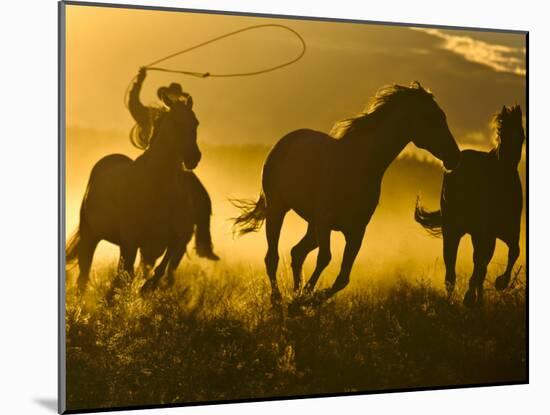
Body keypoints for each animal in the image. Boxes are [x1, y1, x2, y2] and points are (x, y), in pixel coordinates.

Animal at [66, 100, 202, 296]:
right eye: (175, 122)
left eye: (196, 123)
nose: (194, 157)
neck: (158, 191)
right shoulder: (131, 241)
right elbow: (125, 276)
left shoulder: (168, 241)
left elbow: (159, 268)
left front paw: (146, 288)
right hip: (90, 235)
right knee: (84, 273)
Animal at [232, 83, 462, 308]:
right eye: (430, 117)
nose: (455, 157)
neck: (358, 165)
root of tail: (284, 142)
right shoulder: (325, 221)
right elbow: (325, 258)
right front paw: (306, 297)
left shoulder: (356, 230)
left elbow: (343, 277)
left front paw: (308, 299)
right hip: (278, 210)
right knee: (272, 257)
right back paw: (278, 300)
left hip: (311, 225)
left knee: (297, 253)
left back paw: (294, 295)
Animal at [418, 105, 528, 308]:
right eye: (501, 133)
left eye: (521, 133)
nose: (507, 159)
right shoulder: (485, 232)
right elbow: (479, 265)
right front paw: (470, 297)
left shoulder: (506, 232)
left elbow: (512, 252)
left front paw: (500, 283)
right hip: (453, 231)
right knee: (450, 271)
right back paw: (452, 302)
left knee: (478, 264)